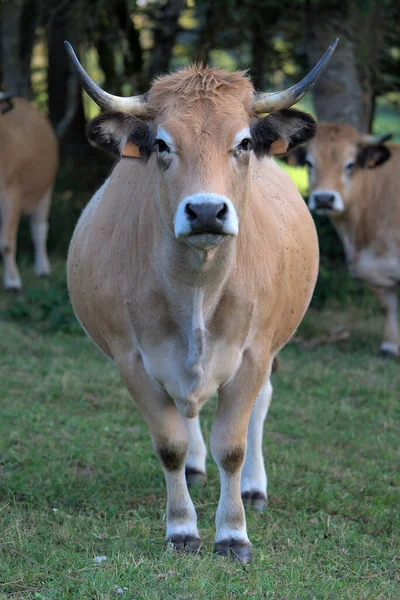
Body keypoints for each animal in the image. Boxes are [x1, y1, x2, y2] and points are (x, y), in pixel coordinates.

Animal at [0, 92, 58, 292]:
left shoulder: (11, 194)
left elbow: (7, 243)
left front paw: (12, 281)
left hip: (46, 188)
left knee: (39, 228)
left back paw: (42, 267)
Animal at [65, 38, 338, 564]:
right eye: (162, 144)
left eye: (245, 142)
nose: (207, 210)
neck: (196, 291)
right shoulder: (132, 359)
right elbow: (169, 443)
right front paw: (182, 529)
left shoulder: (253, 353)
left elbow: (231, 445)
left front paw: (233, 533)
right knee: (185, 412)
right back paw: (194, 468)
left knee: (261, 406)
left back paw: (253, 487)